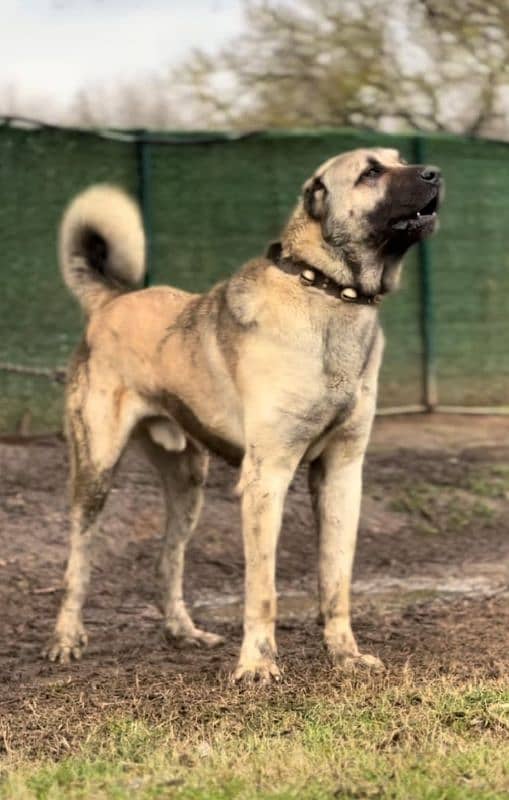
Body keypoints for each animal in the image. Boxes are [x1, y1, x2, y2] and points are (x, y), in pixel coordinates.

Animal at [43, 148, 440, 680]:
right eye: (371, 171)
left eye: (399, 160)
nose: (435, 173)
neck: (327, 292)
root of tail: (113, 301)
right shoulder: (265, 478)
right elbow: (262, 588)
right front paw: (256, 664)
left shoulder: (341, 474)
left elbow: (336, 580)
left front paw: (345, 654)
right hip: (96, 472)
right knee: (78, 562)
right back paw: (66, 638)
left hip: (188, 486)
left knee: (167, 560)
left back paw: (183, 632)